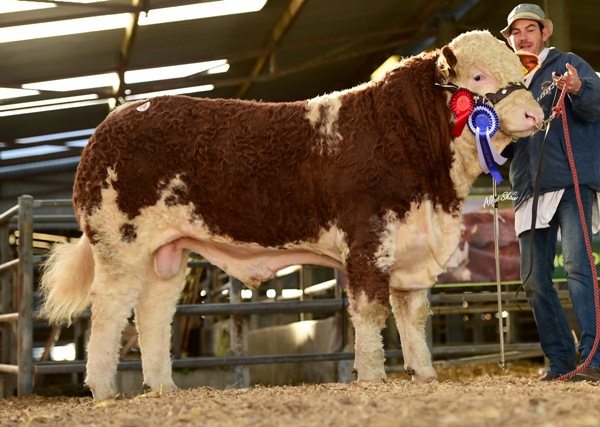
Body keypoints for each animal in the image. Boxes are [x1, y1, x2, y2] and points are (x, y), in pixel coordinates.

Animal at [37, 30, 544, 402]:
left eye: (519, 69)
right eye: (478, 75)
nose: (535, 114)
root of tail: (112, 122)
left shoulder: (412, 245)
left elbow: (413, 315)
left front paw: (424, 375)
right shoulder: (368, 241)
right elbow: (371, 312)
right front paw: (373, 377)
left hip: (170, 251)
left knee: (153, 313)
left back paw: (163, 388)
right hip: (119, 242)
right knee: (109, 310)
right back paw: (103, 390)